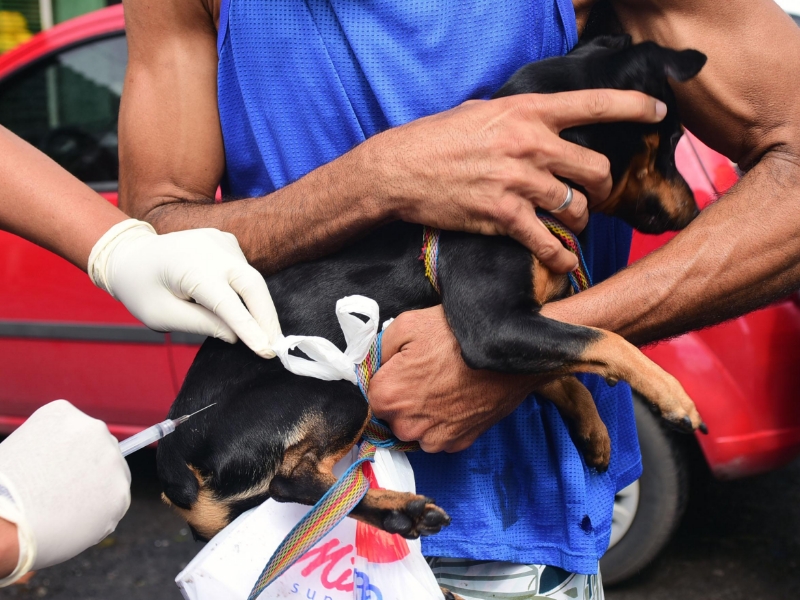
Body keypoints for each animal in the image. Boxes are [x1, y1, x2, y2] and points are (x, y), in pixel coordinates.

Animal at [156, 35, 708, 548]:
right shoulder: (491, 326)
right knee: (290, 483)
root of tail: (173, 465)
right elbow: (603, 339)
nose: (695, 211)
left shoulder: (519, 326)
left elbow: (558, 369)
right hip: (337, 383)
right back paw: (403, 511)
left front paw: (590, 427)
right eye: (675, 138)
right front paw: (672, 394)